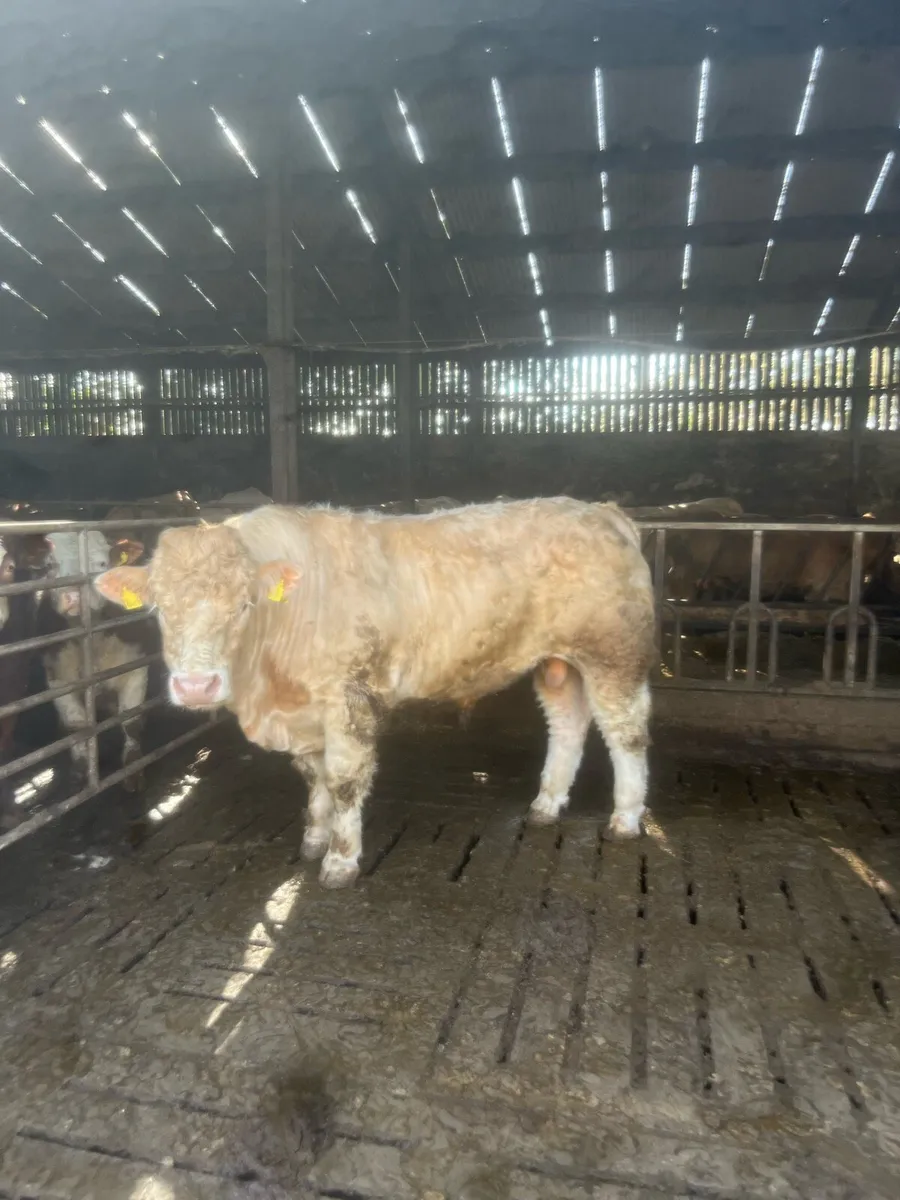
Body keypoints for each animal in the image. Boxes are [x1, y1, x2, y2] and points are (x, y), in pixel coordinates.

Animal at [40, 531, 152, 790]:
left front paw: (133, 770)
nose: (74, 596)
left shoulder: (137, 666)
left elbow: (130, 720)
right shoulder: (56, 679)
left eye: (102, 564)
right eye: (50, 566)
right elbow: (77, 726)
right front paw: (81, 770)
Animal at [95, 499, 655, 888]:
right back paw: (547, 803)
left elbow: (344, 780)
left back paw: (625, 817)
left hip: (614, 655)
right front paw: (314, 838)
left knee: (626, 731)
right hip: (558, 663)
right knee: (568, 722)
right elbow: (313, 776)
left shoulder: (348, 699)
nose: (196, 686)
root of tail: (602, 511)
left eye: (244, 605)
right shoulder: (304, 715)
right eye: (159, 608)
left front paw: (341, 860)